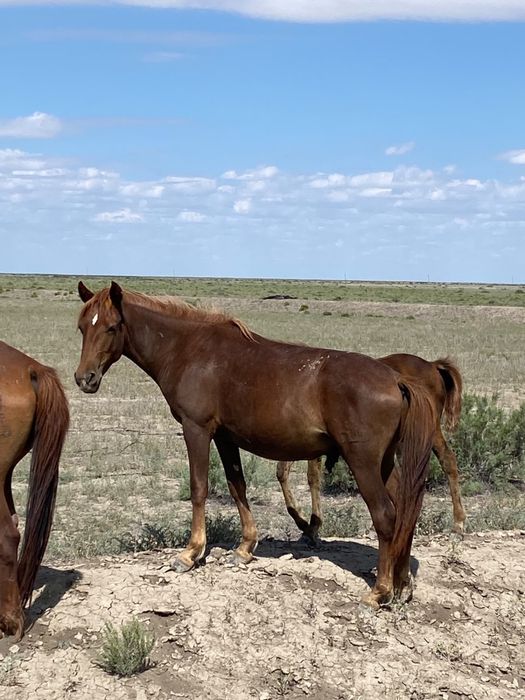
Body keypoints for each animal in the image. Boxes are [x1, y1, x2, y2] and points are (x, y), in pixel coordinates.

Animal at [75, 281, 436, 608]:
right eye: (82, 327)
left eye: (111, 327)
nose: (84, 379)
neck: (189, 350)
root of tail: (396, 379)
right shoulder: (225, 437)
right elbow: (237, 486)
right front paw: (245, 547)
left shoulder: (197, 430)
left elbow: (199, 488)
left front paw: (191, 552)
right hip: (383, 464)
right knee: (405, 511)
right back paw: (403, 584)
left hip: (362, 462)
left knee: (386, 515)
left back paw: (380, 591)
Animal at [276, 354, 465, 543]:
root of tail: (432, 365)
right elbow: (282, 472)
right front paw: (304, 524)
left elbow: (312, 477)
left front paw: (313, 526)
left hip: (430, 431)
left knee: (448, 460)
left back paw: (458, 523)